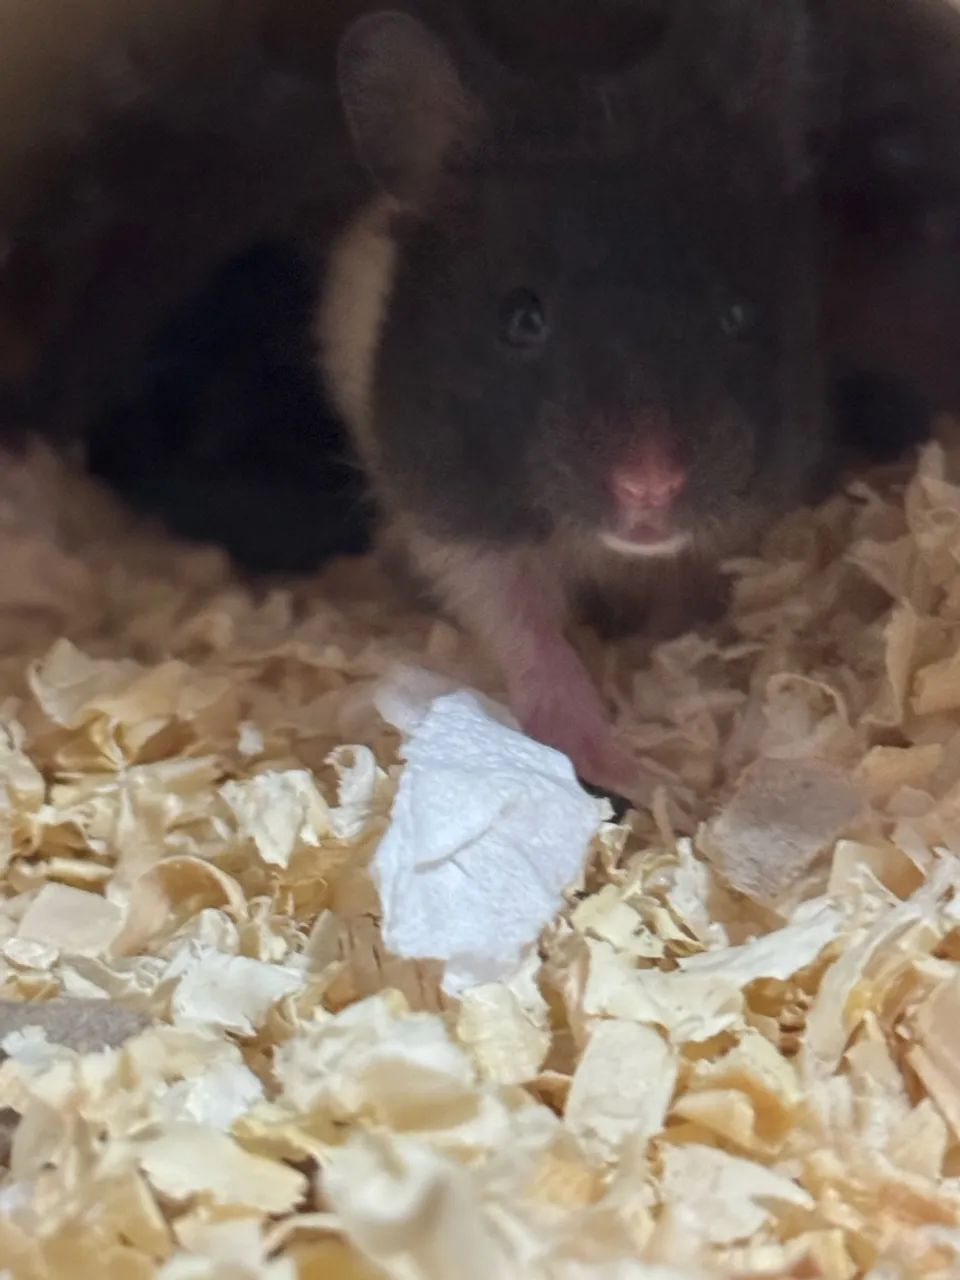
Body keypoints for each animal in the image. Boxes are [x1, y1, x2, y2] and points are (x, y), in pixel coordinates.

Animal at [318, 4, 829, 800]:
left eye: (737, 315)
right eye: (521, 318)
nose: (650, 488)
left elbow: (680, 609)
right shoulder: (459, 531)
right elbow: (531, 638)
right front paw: (631, 769)